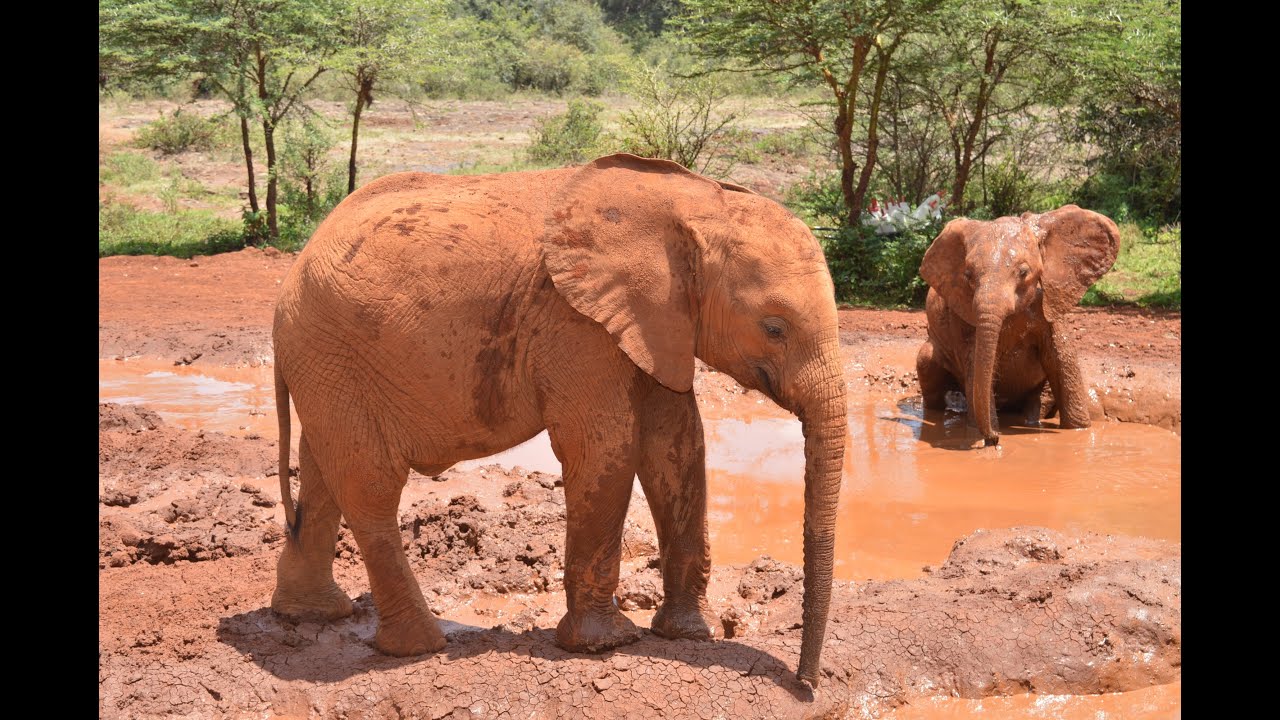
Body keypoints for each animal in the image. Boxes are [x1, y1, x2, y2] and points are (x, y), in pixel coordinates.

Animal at [269, 153, 847, 685]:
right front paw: (605, 645)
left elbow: (677, 444)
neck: (696, 201)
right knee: (369, 485)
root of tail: (291, 277)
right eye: (774, 328)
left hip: (324, 364)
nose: (806, 682)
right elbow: (605, 447)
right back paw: (419, 647)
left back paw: (312, 615)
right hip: (331, 353)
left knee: (322, 476)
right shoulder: (575, 322)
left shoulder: (655, 323)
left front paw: (687, 634)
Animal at [915, 205, 1119, 446]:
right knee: (926, 363)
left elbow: (1061, 359)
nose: (994, 440)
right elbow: (976, 364)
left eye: (1023, 272)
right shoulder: (963, 313)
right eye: (968, 275)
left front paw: (1079, 431)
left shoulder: (1049, 303)